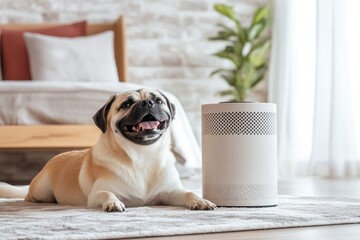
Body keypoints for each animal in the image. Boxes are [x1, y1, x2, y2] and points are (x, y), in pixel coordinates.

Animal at [0, 89, 217, 211]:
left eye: (158, 101)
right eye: (127, 104)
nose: (147, 102)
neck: (142, 156)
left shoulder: (171, 193)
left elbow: (188, 192)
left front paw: (200, 200)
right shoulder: (97, 194)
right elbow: (107, 194)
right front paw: (113, 203)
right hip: (41, 190)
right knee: (29, 195)